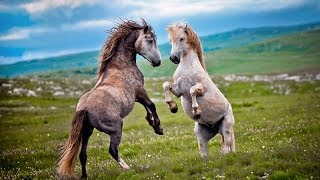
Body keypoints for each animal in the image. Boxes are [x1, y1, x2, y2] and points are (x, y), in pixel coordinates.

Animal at [57, 19, 165, 178]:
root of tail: (84, 108)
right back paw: (127, 168)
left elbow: (148, 108)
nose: (157, 62)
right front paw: (158, 128)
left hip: (87, 132)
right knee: (112, 150)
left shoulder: (137, 96)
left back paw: (84, 176)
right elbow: (151, 105)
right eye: (150, 40)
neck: (121, 66)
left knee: (83, 154)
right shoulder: (139, 91)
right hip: (115, 128)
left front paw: (151, 123)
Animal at [162, 22, 235, 159]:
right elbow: (166, 85)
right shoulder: (178, 90)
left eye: (181, 38)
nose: (173, 58)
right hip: (201, 133)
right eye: (170, 40)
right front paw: (173, 107)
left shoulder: (200, 89)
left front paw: (196, 112)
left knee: (226, 147)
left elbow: (192, 90)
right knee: (204, 151)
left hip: (226, 128)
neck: (187, 67)